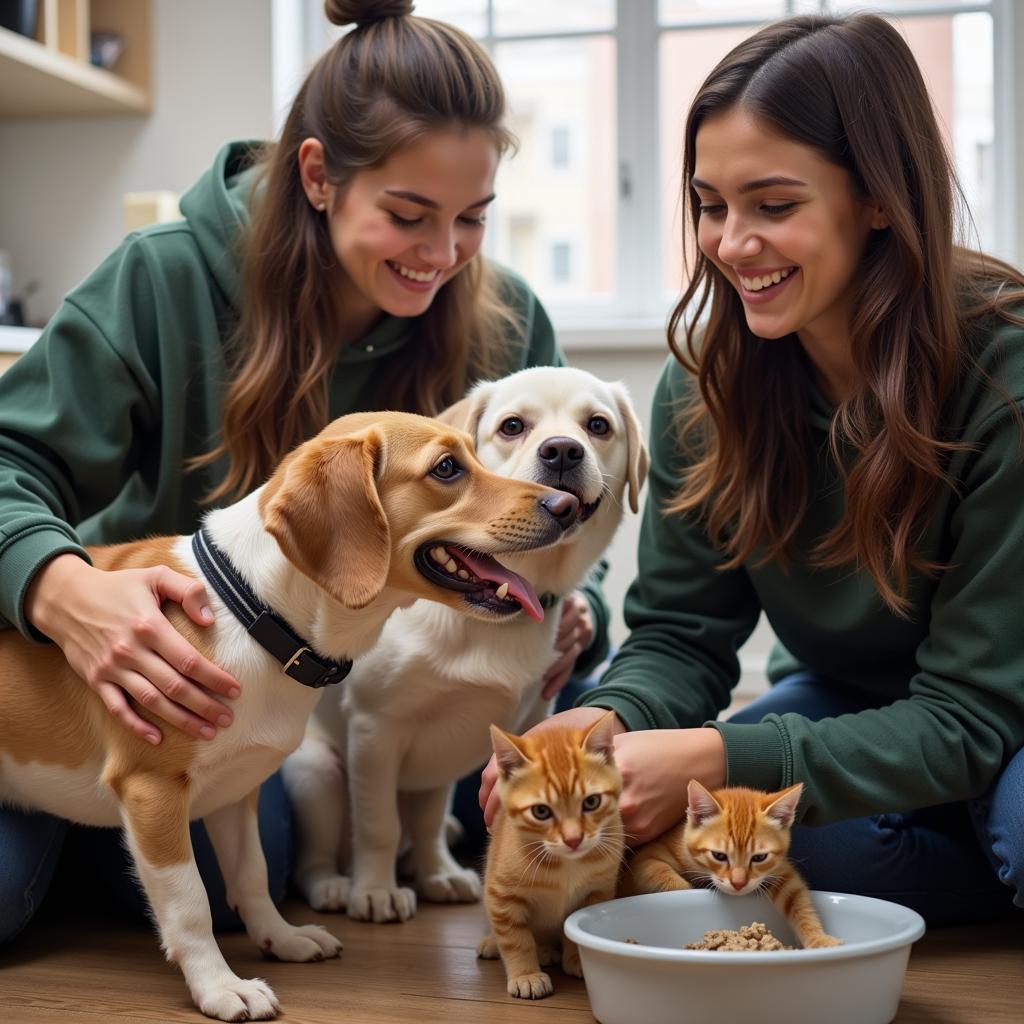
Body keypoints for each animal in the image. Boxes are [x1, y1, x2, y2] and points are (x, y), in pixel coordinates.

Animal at [0, 409, 577, 1024]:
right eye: (447, 468)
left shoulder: (235, 790)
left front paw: (281, 937)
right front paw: (219, 986)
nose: (565, 506)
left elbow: (252, 875)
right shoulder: (151, 790)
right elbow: (190, 903)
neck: (252, 611)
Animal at [284, 370, 643, 929]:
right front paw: (375, 890)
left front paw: (439, 874)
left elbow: (431, 819)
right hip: (316, 773)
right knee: (316, 858)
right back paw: (336, 885)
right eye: (513, 426)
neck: (491, 614)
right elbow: (378, 824)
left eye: (598, 425)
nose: (563, 451)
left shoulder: (496, 731)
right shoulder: (375, 728)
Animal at [477, 712, 622, 999]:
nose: (573, 839)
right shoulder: (501, 895)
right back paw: (494, 943)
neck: (568, 864)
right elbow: (515, 939)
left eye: (591, 802)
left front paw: (577, 960)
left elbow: (572, 929)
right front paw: (526, 975)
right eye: (541, 811)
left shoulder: (597, 890)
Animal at [622, 778, 839, 946]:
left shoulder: (781, 871)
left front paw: (819, 939)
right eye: (719, 856)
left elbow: (799, 901)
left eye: (759, 858)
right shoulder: (645, 859)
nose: (738, 883)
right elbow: (667, 880)